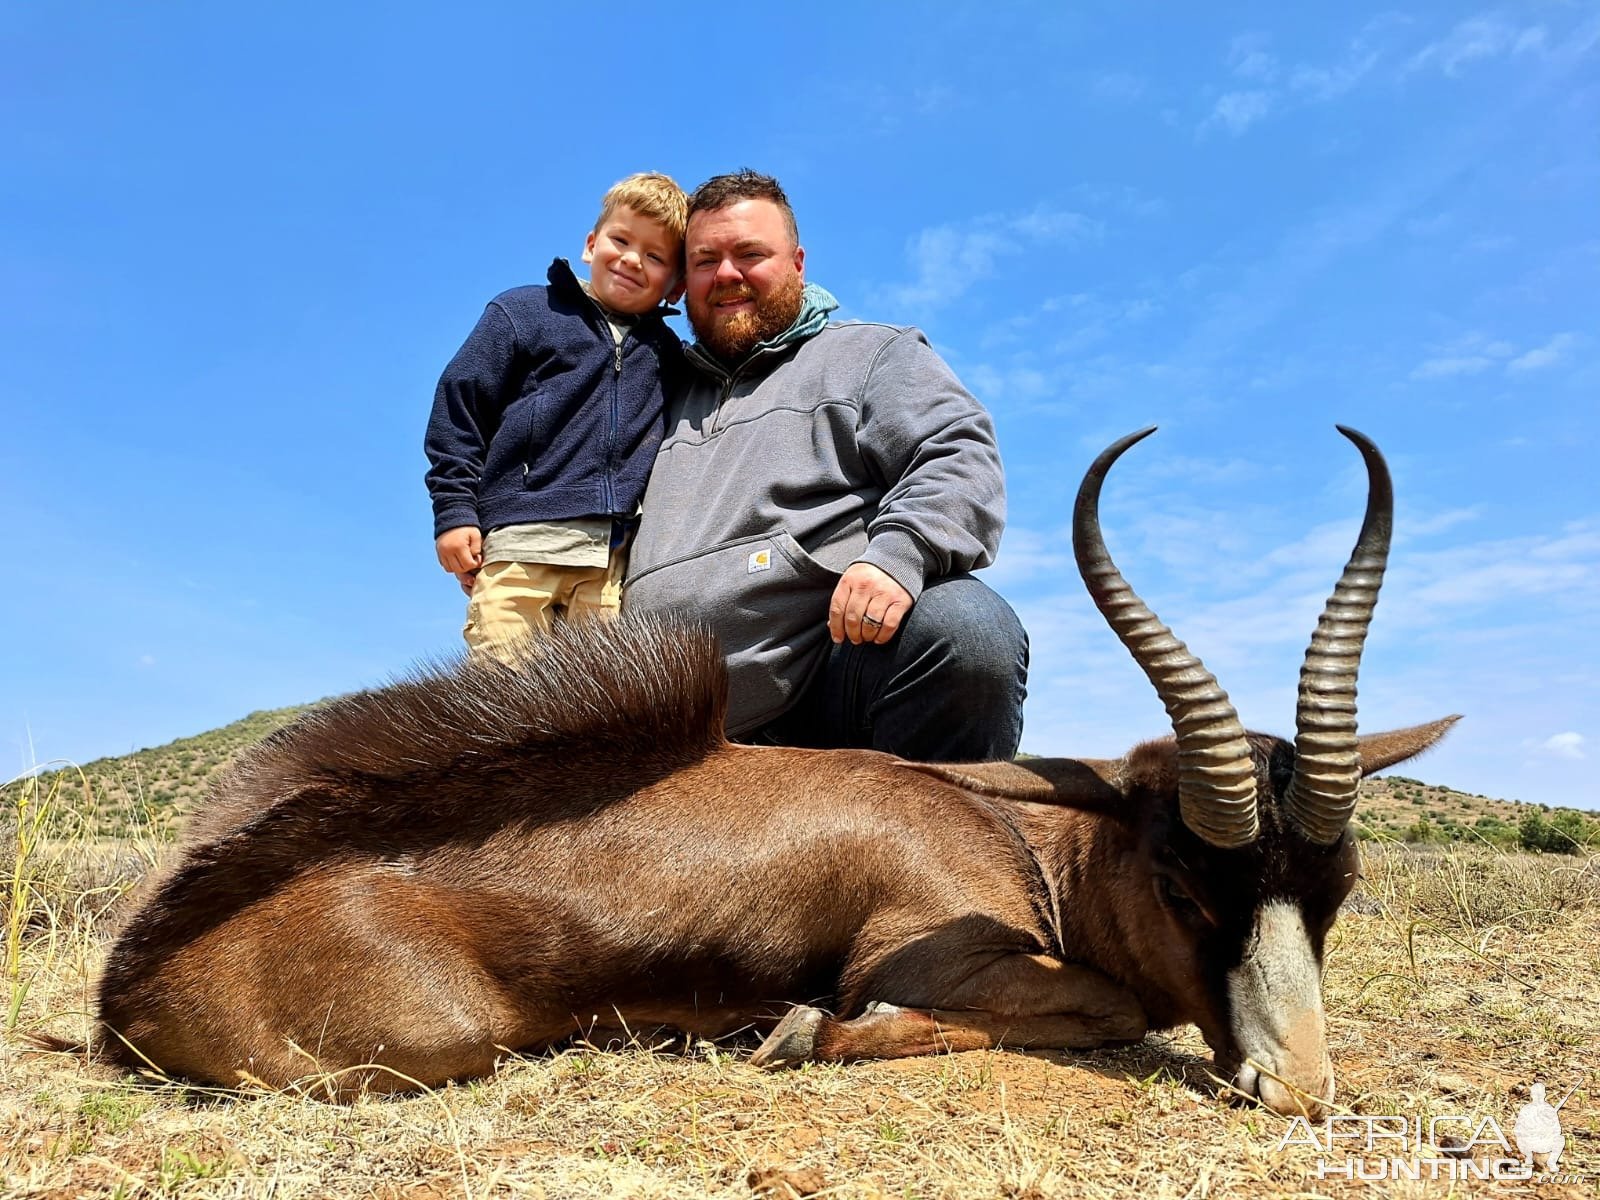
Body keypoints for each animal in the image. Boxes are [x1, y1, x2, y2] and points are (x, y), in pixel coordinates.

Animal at [93, 428, 1459, 1113]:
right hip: (446, 1042)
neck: (1010, 832)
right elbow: (1104, 1004)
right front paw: (797, 1031)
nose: (1300, 1088)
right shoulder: (919, 954)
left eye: (1334, 891)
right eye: (1183, 882)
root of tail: (134, 976)